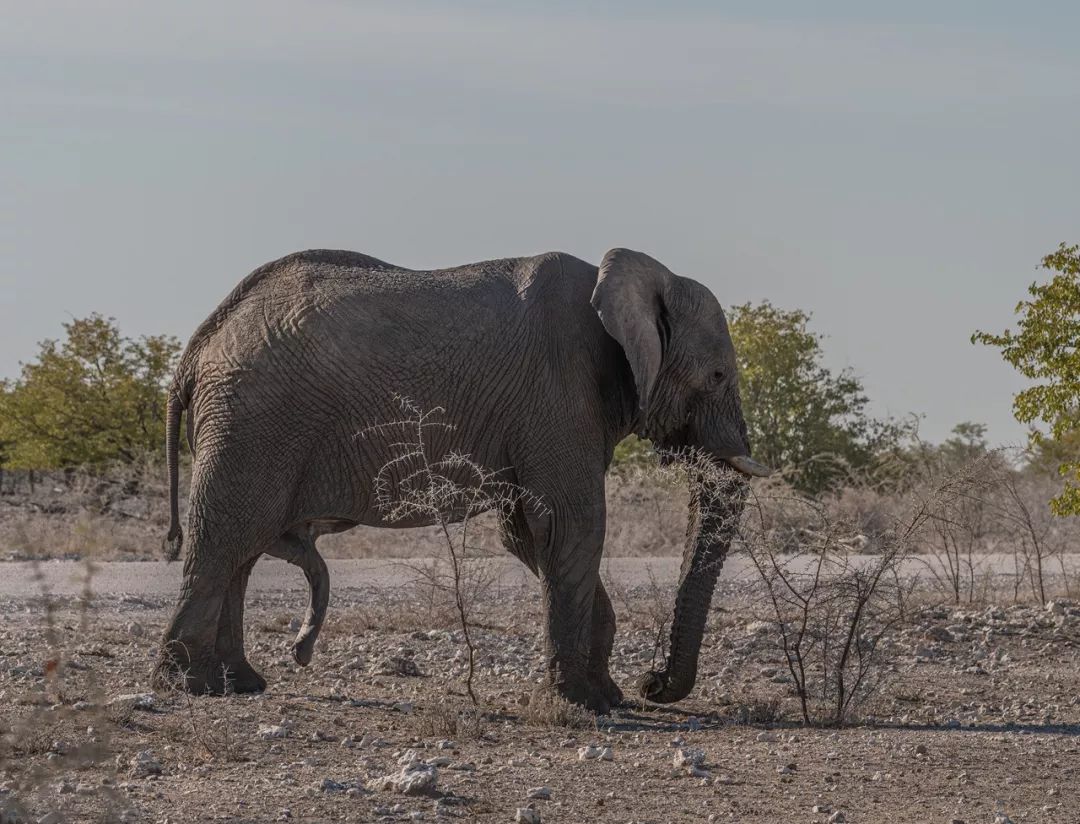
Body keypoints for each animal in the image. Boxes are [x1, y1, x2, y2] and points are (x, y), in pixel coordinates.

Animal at [156, 248, 773, 712]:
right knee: (226, 536)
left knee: (241, 548)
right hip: (252, 420)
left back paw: (240, 684)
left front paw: (608, 695)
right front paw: (586, 704)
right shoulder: (560, 393)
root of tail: (198, 345)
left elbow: (527, 534)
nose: (653, 683)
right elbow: (572, 525)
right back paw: (190, 685)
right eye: (719, 375)